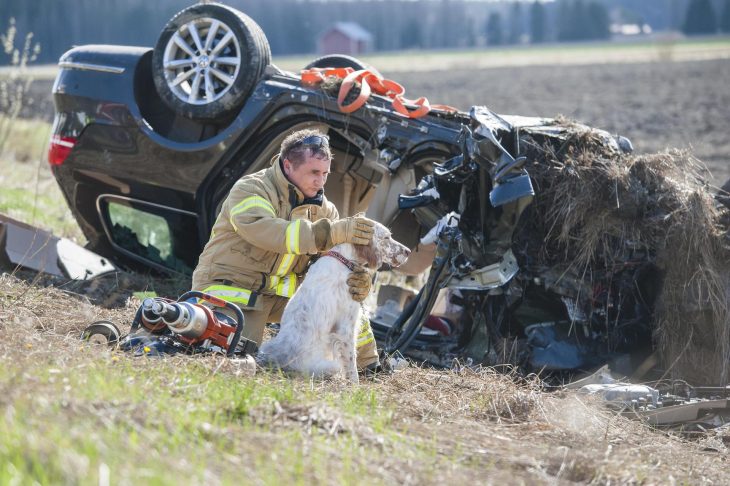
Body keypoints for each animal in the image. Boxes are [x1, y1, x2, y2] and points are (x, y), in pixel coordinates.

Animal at [256, 221, 410, 384]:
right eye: (386, 238)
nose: (408, 251)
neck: (344, 259)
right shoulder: (345, 328)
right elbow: (351, 363)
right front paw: (355, 385)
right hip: (330, 365)